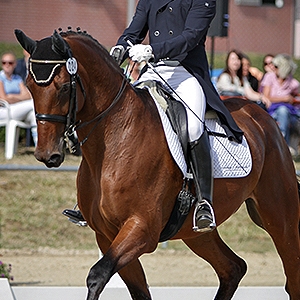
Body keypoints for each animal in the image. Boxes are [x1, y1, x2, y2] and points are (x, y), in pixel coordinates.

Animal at [15, 28, 300, 300]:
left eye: (64, 87)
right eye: (29, 85)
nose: (46, 154)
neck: (115, 140)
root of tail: (262, 115)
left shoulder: (142, 229)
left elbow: (97, 275)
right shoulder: (106, 235)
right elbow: (137, 289)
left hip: (280, 218)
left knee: (291, 275)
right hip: (196, 233)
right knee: (233, 268)